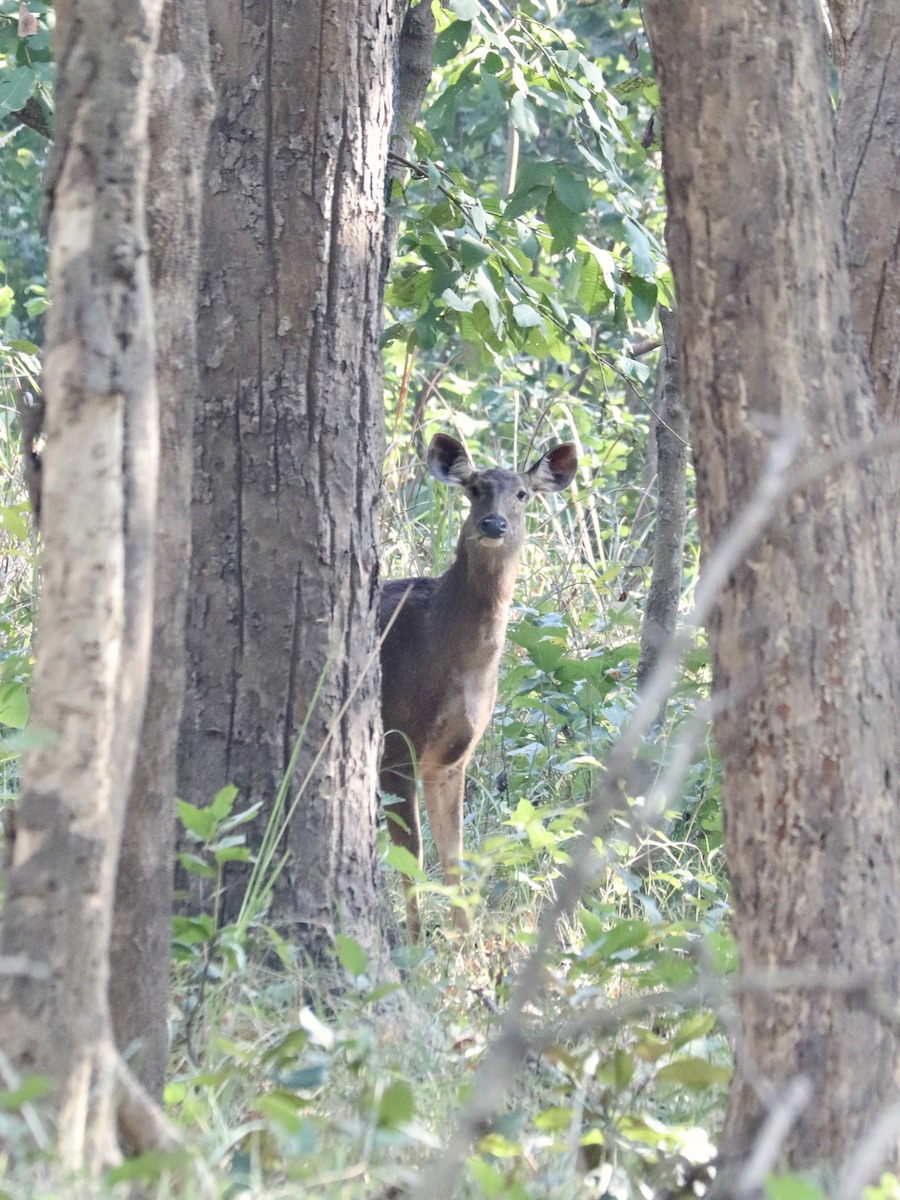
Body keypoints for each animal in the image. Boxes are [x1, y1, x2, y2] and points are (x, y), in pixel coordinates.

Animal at [379, 432, 578, 938]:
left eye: (522, 494)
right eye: (474, 490)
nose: (494, 522)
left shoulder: (452, 759)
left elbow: (455, 858)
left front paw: (464, 944)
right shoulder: (395, 742)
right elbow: (413, 858)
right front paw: (415, 947)